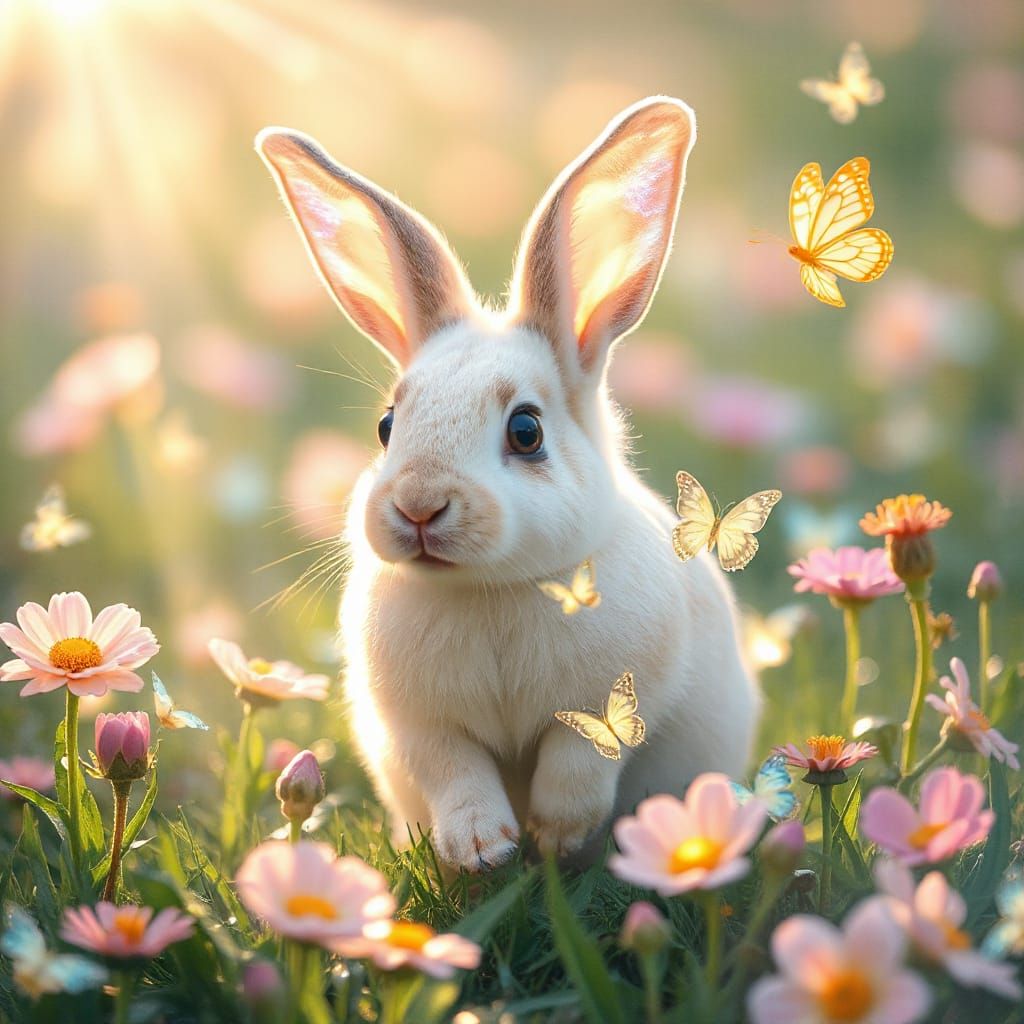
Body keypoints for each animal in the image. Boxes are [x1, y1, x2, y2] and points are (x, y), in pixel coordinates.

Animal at [256, 96, 761, 871]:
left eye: (526, 431)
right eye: (387, 425)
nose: (419, 505)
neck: (489, 589)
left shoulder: (619, 700)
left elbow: (578, 760)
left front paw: (555, 838)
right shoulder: (420, 724)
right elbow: (455, 774)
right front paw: (482, 849)